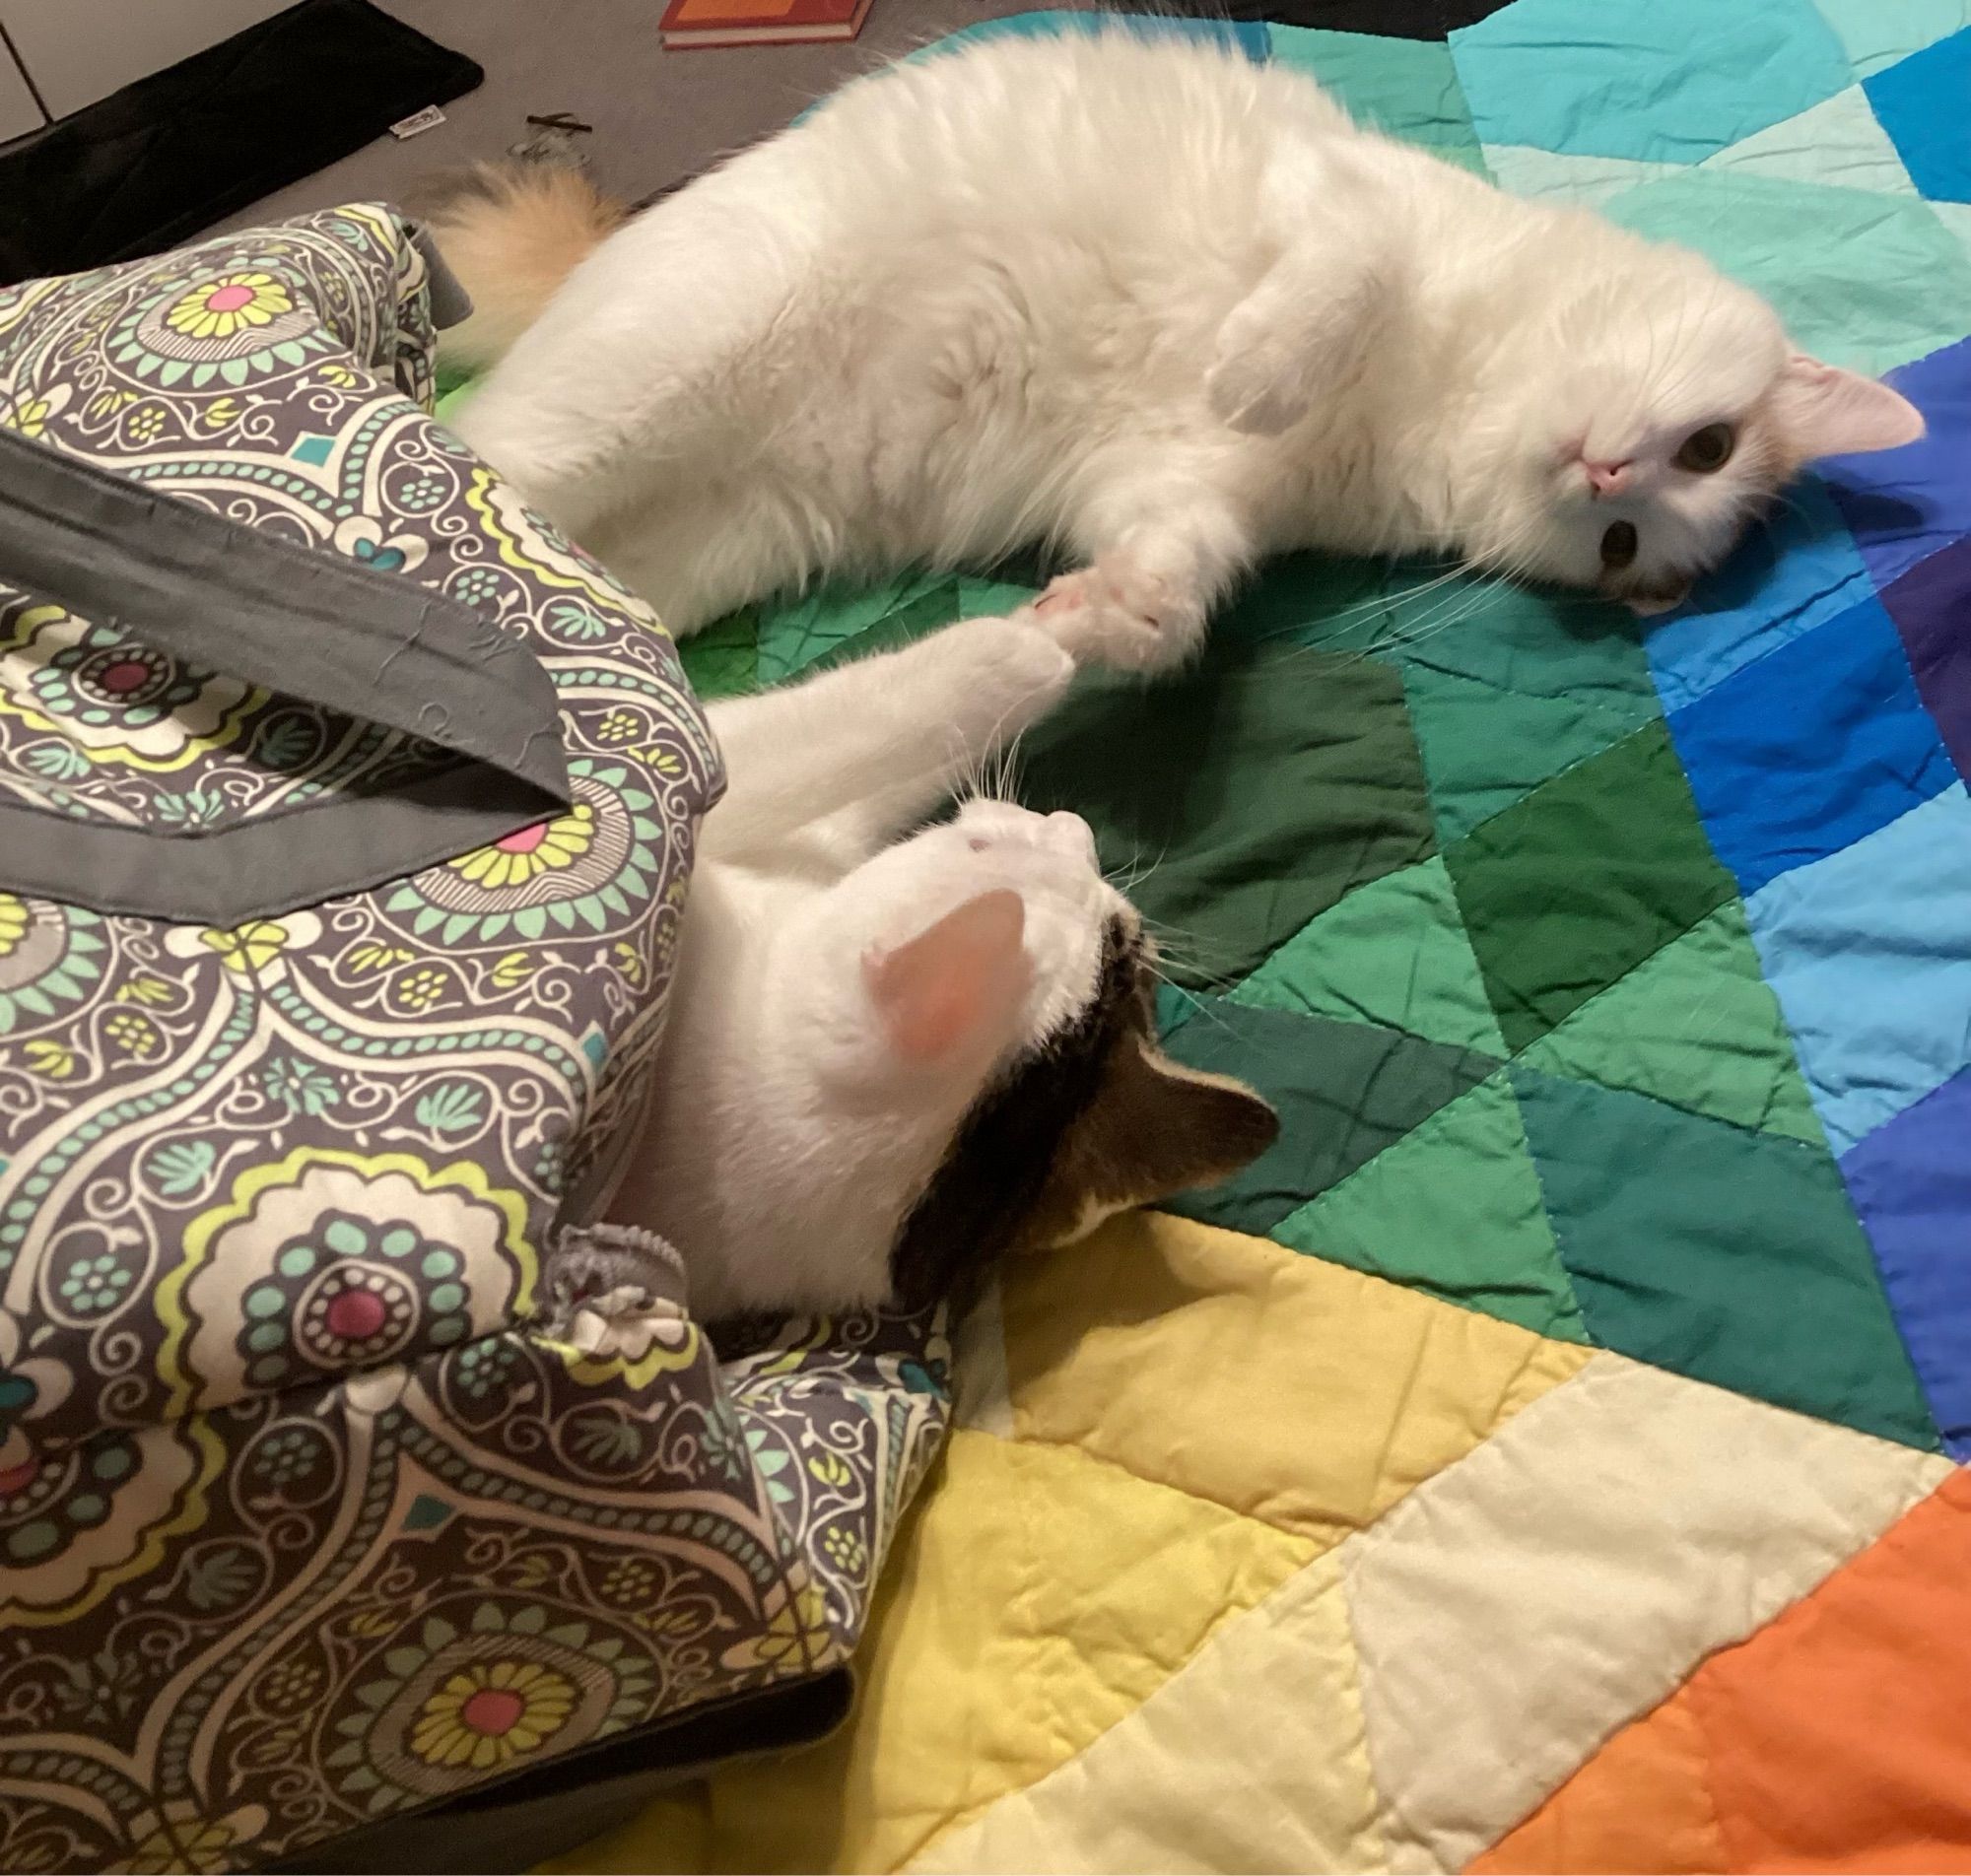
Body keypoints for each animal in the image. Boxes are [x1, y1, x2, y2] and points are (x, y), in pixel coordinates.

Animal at [424, 26, 1916, 666]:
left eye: (1624, 547)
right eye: (1708, 445)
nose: (1609, 480)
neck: (1435, 397)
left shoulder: (1177, 491)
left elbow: (1176, 570)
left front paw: (1108, 620)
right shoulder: (1332, 193)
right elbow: (1340, 275)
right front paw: (1257, 369)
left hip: (701, 543)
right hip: (667, 368)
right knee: (463, 446)